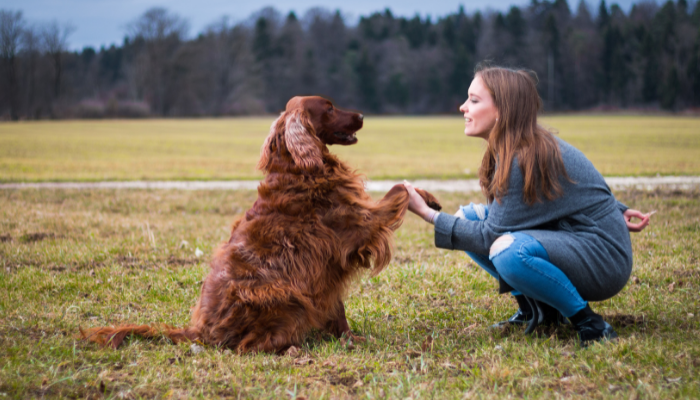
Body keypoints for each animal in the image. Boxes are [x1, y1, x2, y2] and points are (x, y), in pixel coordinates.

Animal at [83, 97, 442, 354]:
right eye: (328, 108)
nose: (363, 116)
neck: (298, 169)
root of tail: (200, 331)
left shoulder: (326, 268)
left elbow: (337, 311)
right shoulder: (359, 225)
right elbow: (398, 190)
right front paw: (421, 196)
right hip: (284, 295)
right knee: (248, 347)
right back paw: (292, 349)